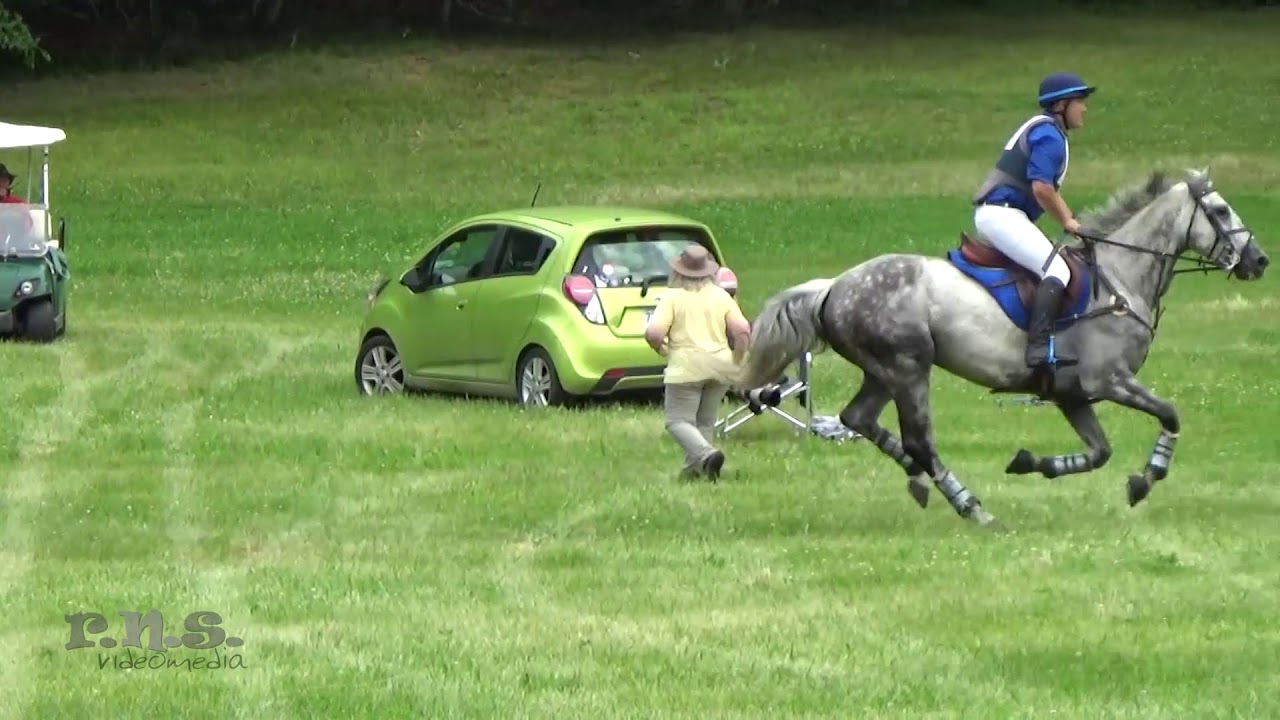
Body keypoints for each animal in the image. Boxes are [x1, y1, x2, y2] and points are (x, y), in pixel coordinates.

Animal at [734, 168, 1269, 529]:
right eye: (1221, 211)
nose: (1260, 260)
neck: (1120, 279)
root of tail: (833, 285)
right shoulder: (1110, 380)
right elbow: (1170, 415)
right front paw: (1147, 478)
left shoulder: (1072, 395)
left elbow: (1099, 452)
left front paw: (1034, 463)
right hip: (909, 367)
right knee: (919, 440)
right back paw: (972, 507)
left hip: (883, 370)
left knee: (860, 419)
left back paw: (918, 480)